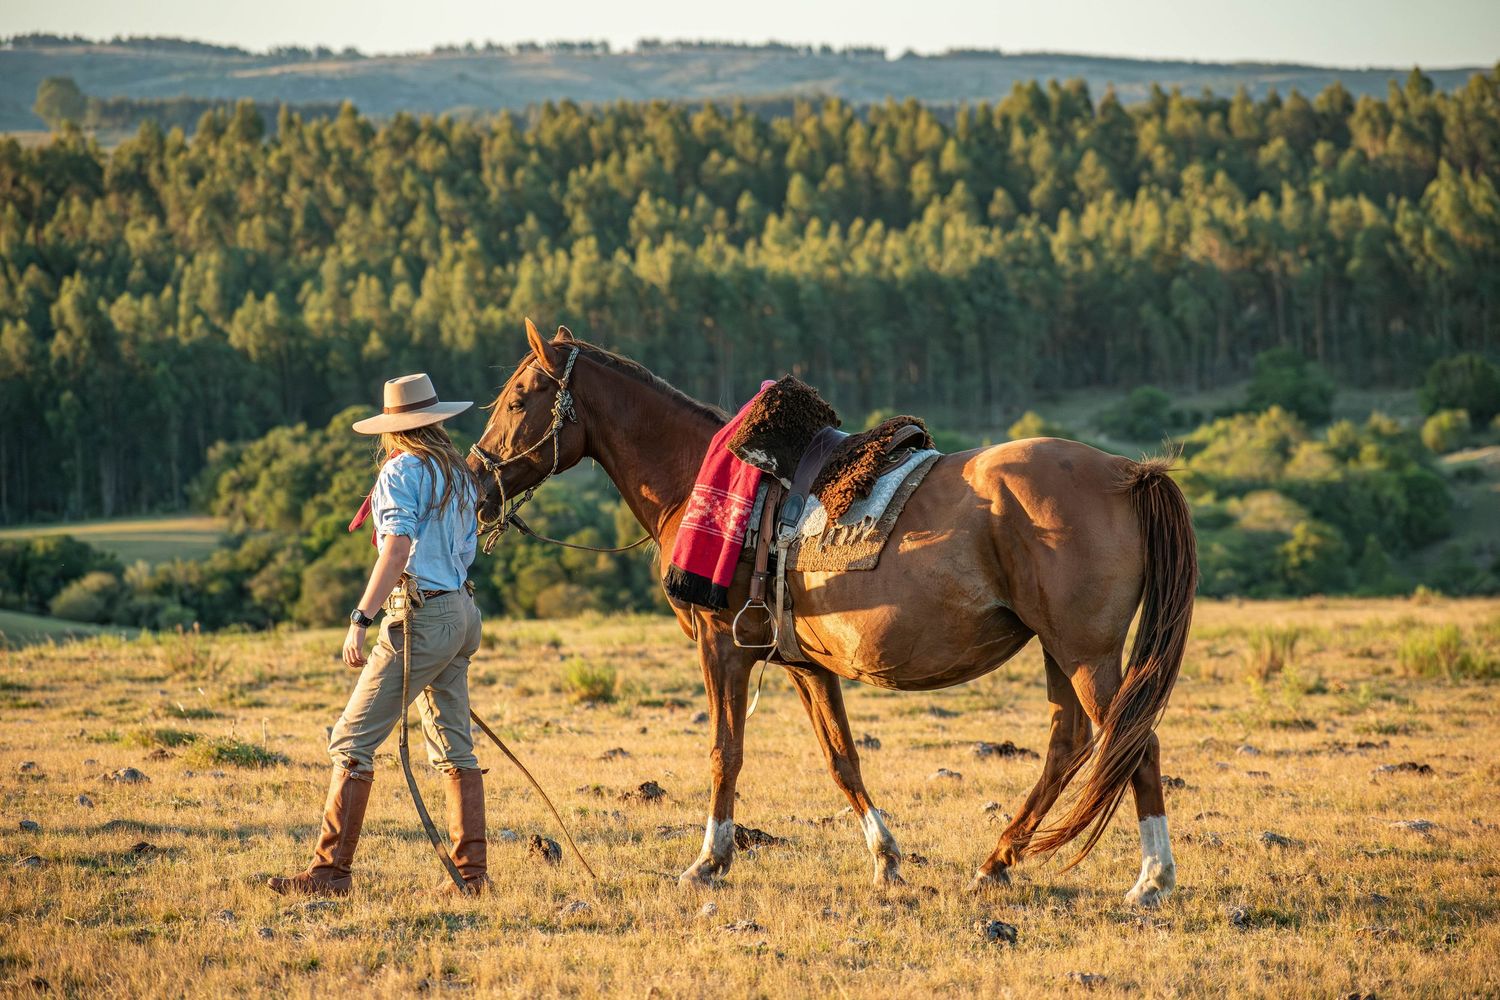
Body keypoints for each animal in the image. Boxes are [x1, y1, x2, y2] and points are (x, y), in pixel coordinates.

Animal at [469, 320, 1196, 905]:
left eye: (517, 398)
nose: (476, 483)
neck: (701, 477)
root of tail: (1126, 472)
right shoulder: (804, 664)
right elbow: (841, 758)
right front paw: (886, 858)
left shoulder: (721, 647)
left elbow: (724, 751)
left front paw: (709, 860)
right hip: (1058, 649)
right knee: (1068, 743)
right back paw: (998, 860)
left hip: (1085, 653)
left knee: (1133, 741)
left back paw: (1152, 879)